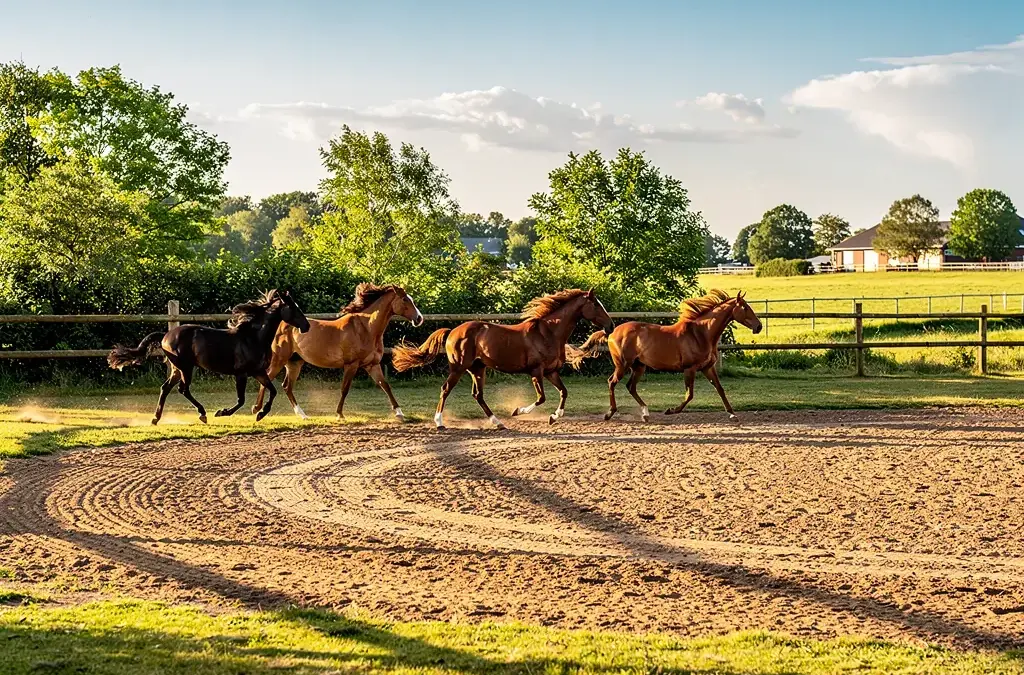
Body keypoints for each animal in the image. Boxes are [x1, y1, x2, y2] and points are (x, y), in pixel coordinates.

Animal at [107, 289, 311, 425]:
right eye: (293, 308)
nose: (307, 326)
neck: (253, 337)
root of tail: (165, 336)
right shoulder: (241, 374)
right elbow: (241, 400)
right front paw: (222, 412)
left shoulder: (258, 371)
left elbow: (273, 390)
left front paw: (260, 414)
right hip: (186, 367)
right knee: (182, 389)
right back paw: (203, 413)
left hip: (177, 369)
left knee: (165, 388)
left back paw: (156, 419)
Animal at [251, 283, 424, 421]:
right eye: (405, 300)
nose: (419, 318)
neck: (366, 328)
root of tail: (279, 324)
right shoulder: (351, 365)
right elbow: (345, 389)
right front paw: (339, 414)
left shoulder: (372, 365)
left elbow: (385, 386)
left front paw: (400, 413)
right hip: (279, 360)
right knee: (268, 379)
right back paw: (257, 409)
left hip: (294, 363)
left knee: (287, 386)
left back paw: (303, 415)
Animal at [391, 289, 614, 429]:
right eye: (596, 305)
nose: (610, 326)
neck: (549, 333)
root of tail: (452, 331)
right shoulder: (536, 372)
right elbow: (541, 398)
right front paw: (517, 411)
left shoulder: (551, 372)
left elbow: (564, 392)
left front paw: (553, 417)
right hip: (458, 368)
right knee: (446, 389)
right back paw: (439, 422)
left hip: (478, 369)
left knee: (478, 395)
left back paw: (498, 423)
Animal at [579, 289, 761, 423]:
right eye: (745, 308)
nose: (758, 326)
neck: (701, 334)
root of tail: (611, 331)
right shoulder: (690, 369)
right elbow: (689, 395)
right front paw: (670, 410)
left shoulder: (708, 368)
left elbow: (720, 389)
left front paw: (732, 414)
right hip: (623, 365)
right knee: (612, 382)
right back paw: (610, 413)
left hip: (639, 366)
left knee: (631, 387)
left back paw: (645, 413)